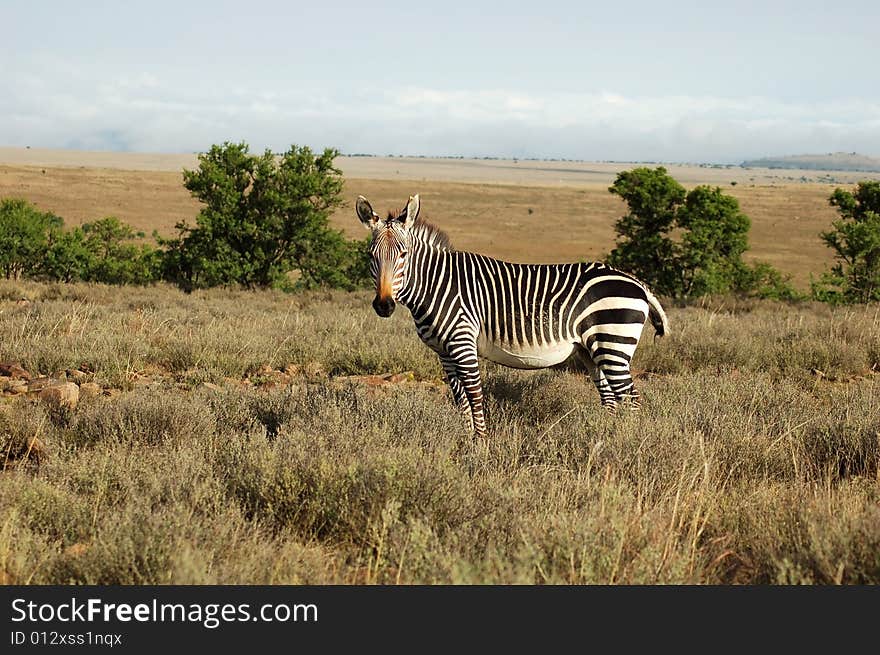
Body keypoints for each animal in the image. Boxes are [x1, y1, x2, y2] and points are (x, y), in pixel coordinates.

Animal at [356, 195, 668, 440]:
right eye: (371, 256)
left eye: (403, 254)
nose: (384, 306)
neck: (437, 285)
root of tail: (638, 283)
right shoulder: (444, 353)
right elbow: (460, 398)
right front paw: (464, 438)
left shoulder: (463, 343)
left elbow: (475, 394)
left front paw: (480, 443)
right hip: (592, 351)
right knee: (610, 397)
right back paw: (605, 435)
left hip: (614, 342)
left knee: (631, 397)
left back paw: (626, 441)